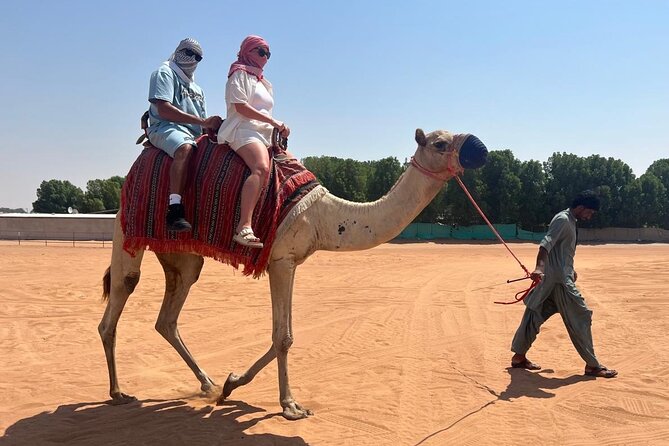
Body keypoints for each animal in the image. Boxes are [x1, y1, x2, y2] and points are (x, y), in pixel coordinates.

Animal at [98, 128, 488, 420]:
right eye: (440, 143)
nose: (480, 149)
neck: (326, 216)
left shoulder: (289, 262)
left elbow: (280, 337)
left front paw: (231, 384)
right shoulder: (281, 260)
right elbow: (283, 337)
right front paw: (290, 406)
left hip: (182, 254)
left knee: (168, 315)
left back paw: (207, 384)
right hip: (127, 230)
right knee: (121, 296)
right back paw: (119, 392)